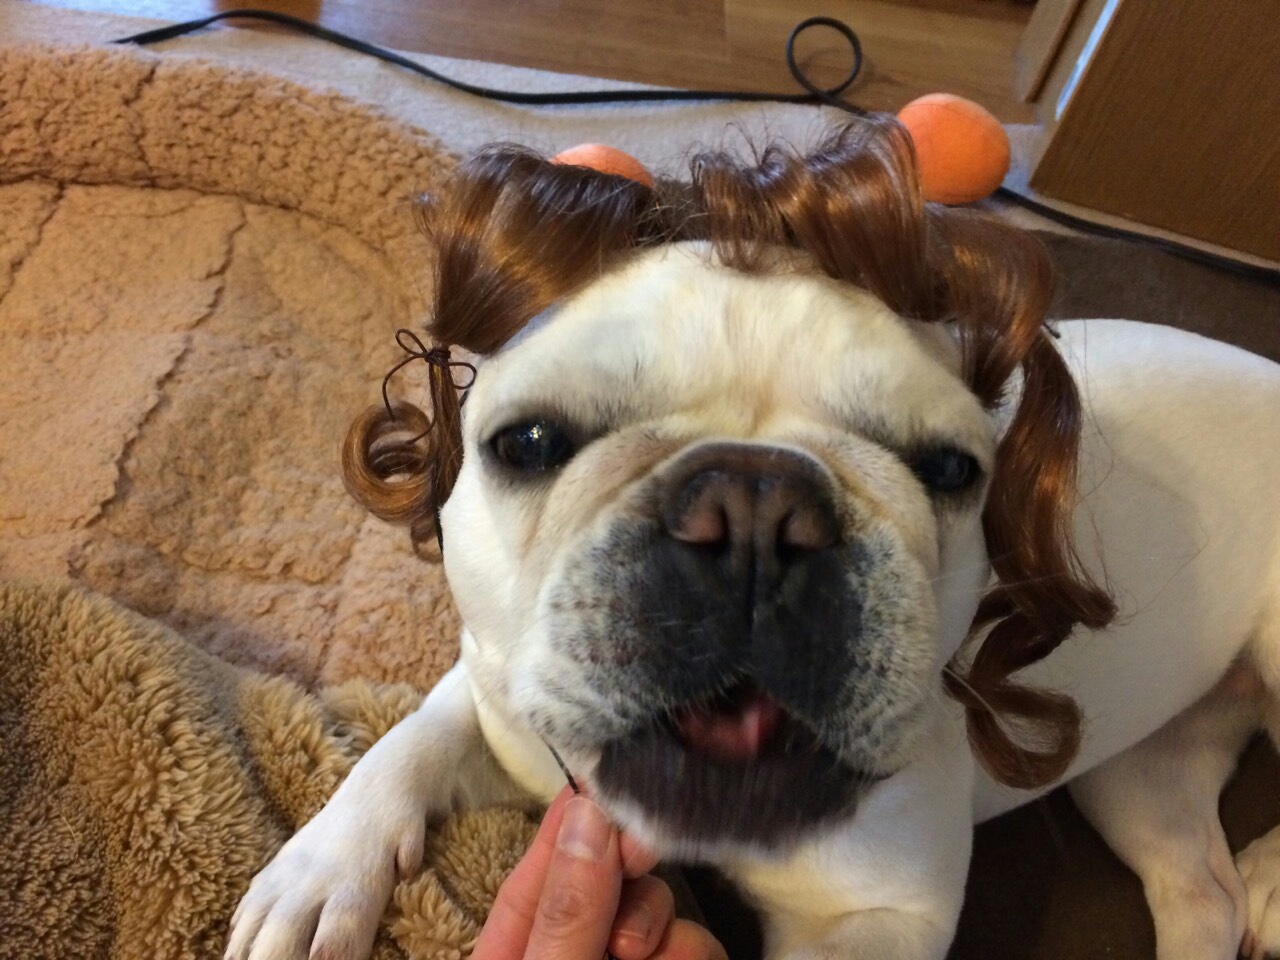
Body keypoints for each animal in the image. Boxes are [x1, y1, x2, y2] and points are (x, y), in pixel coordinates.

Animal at [226, 119, 1280, 960]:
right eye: (527, 443)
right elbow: (414, 737)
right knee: (1197, 884)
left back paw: (1272, 876)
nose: (756, 511)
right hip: (1138, 772)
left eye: (947, 469)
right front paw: (321, 870)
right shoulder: (501, 693)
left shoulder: (880, 919)